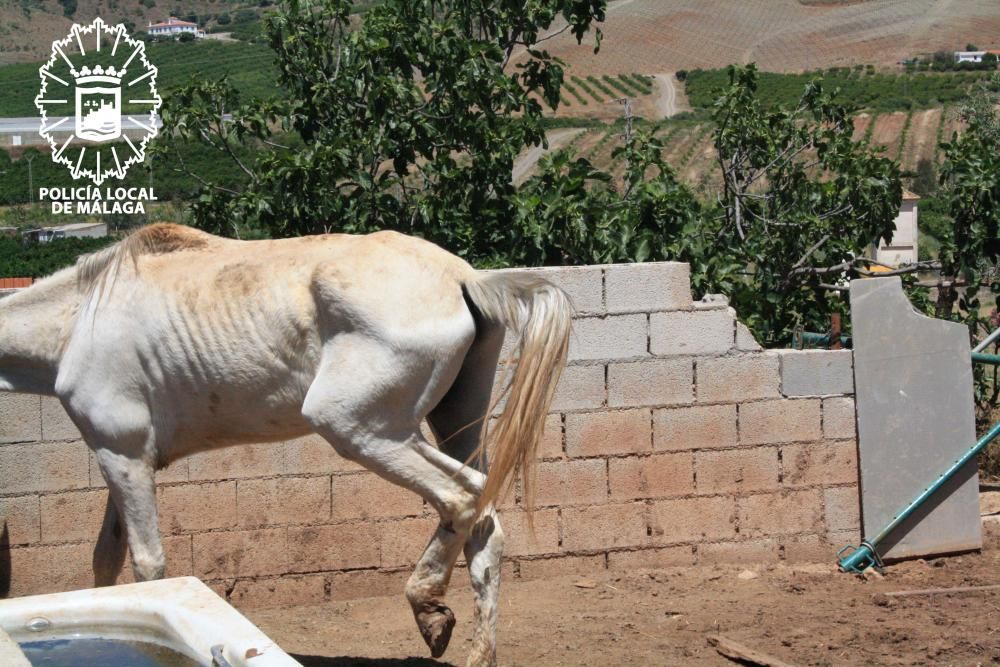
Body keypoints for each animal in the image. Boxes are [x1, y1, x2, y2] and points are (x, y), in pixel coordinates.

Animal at [0, 226, 572, 667]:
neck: (79, 319)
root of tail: (465, 279)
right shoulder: (118, 458)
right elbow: (106, 562)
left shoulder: (124, 455)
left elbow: (147, 566)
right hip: (453, 422)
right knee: (485, 518)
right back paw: (475, 651)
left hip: (359, 428)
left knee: (461, 495)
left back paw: (428, 608)